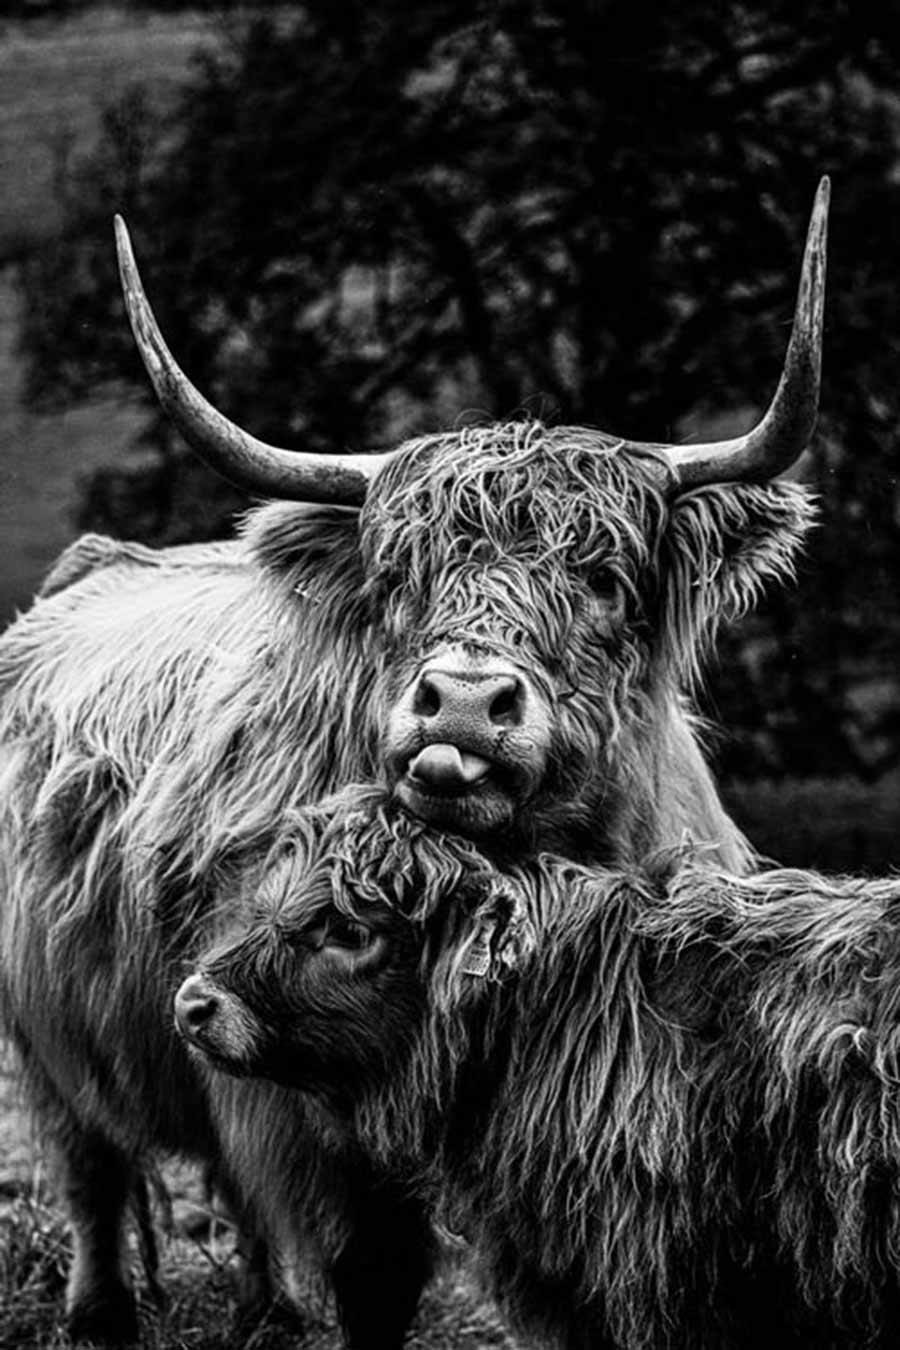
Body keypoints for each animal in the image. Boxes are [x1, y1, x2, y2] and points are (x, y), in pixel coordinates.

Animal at [0, 184, 825, 1344]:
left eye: (606, 579)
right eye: (398, 575)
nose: (466, 702)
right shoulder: (298, 1091)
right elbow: (371, 1269)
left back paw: (265, 1308)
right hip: (46, 1020)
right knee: (89, 1160)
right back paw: (100, 1309)